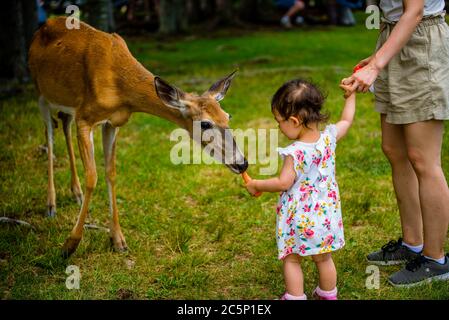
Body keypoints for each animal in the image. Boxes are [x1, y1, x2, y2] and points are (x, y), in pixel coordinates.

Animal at [27, 16, 247, 258]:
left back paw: (75, 193)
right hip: (40, 92)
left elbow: (111, 173)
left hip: (66, 103)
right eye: (205, 123)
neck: (122, 88)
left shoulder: (113, 122)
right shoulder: (85, 117)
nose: (242, 163)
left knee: (64, 123)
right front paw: (70, 244)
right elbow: (92, 176)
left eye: (228, 116)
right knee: (49, 134)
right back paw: (51, 205)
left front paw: (118, 240)